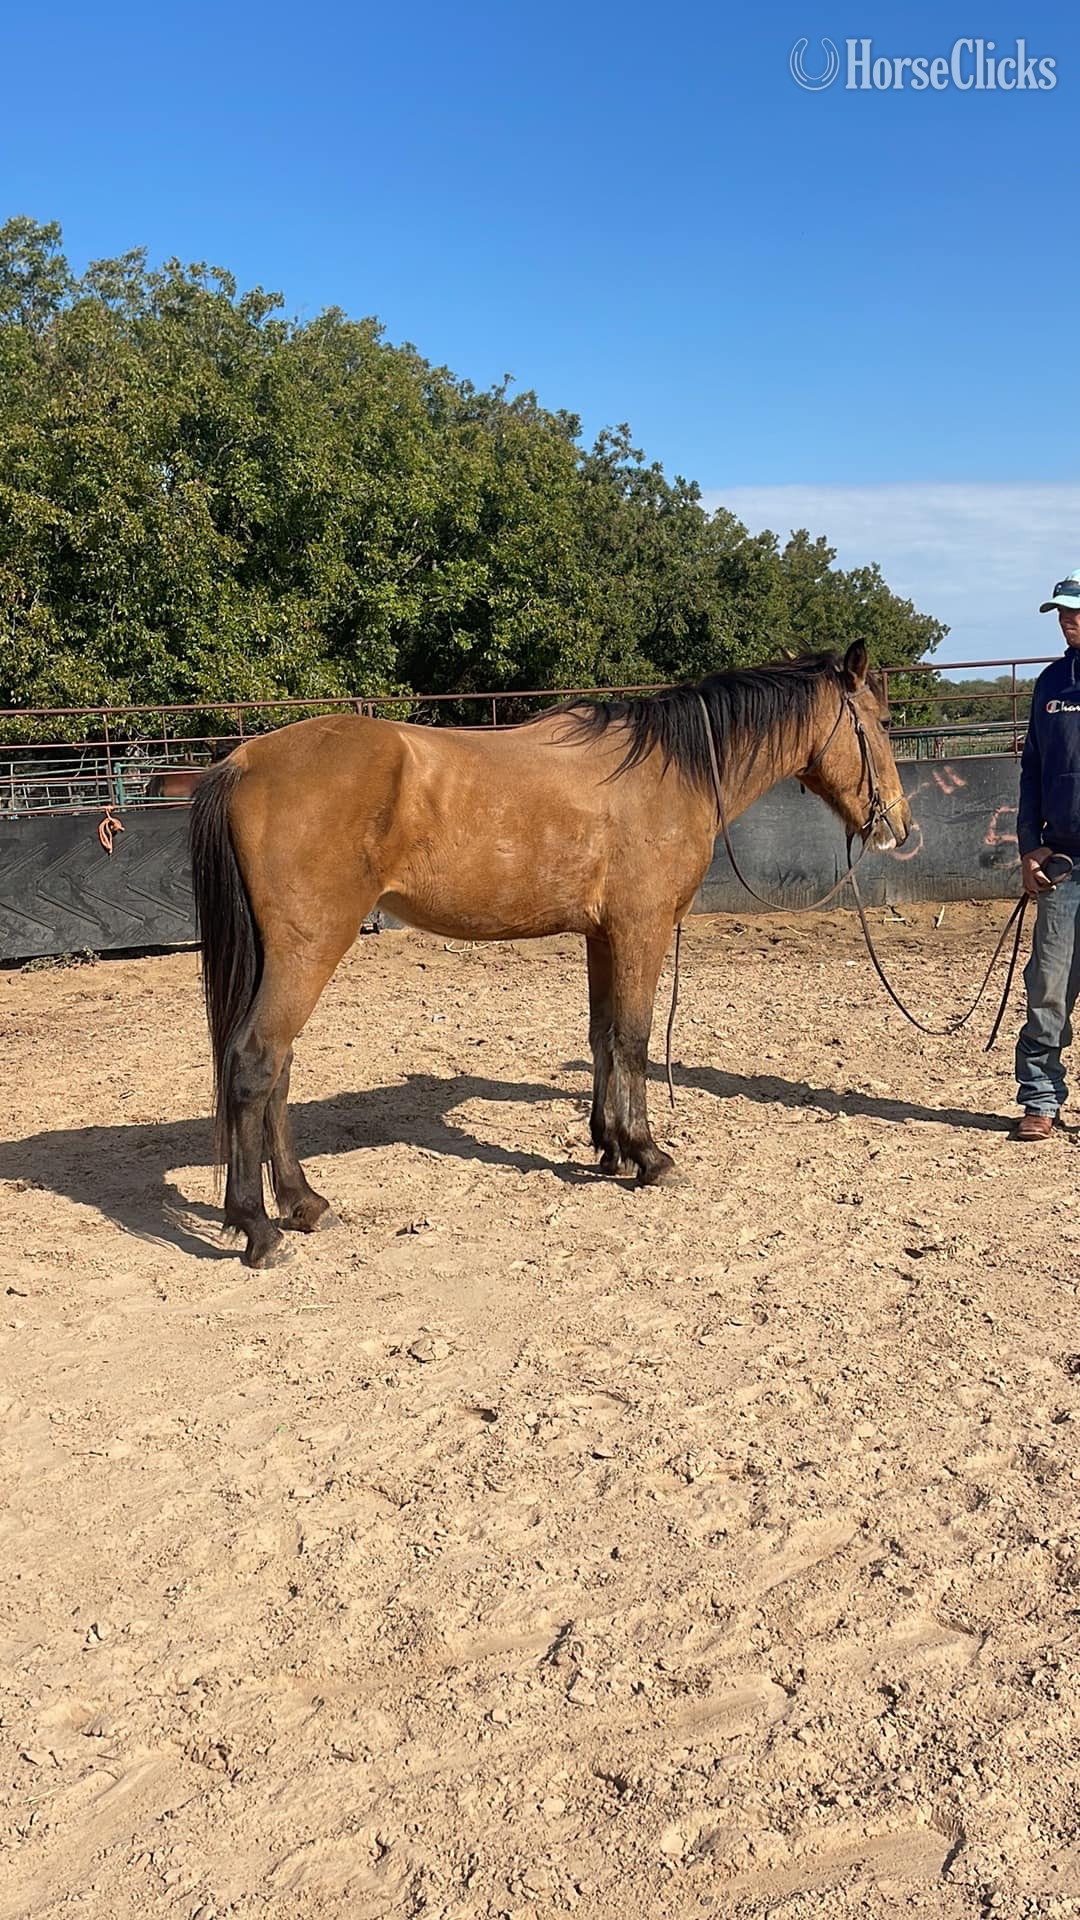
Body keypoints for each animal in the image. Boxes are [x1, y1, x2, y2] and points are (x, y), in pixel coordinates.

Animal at [189, 642, 911, 1268]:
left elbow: (602, 1037)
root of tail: (245, 761)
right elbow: (634, 1039)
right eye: (881, 722)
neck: (669, 772)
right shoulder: (642, 929)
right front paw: (649, 1156)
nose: (900, 828)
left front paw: (610, 1147)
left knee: (279, 1069)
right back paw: (258, 1228)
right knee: (256, 1063)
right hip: (308, 949)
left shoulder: (603, 934)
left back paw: (304, 1203)